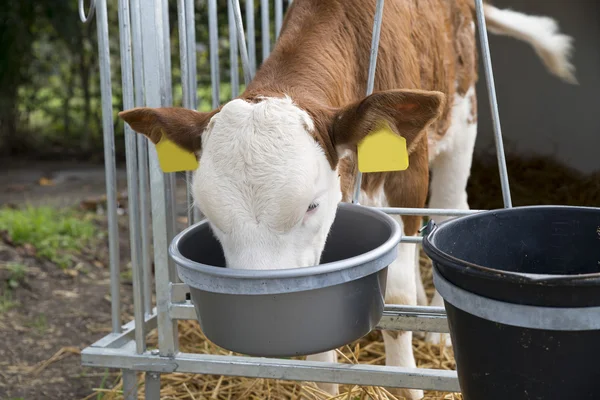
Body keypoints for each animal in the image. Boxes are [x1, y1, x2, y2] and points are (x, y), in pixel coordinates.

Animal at [120, 1, 576, 398]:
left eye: (311, 205)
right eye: (210, 214)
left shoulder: (408, 176)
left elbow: (398, 299)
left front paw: (407, 385)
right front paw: (321, 387)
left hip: (462, 117)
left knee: (449, 208)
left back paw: (438, 332)